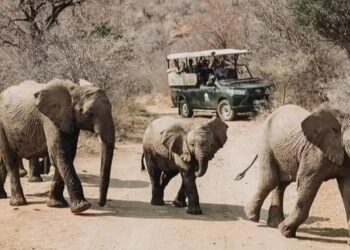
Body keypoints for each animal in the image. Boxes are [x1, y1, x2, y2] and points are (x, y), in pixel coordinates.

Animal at [0, 79, 115, 214]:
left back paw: (2, 196)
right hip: (2, 124)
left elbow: (68, 155)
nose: (100, 203)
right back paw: (18, 203)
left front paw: (56, 205)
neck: (75, 90)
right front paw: (82, 207)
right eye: (88, 114)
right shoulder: (50, 120)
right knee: (9, 159)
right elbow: (59, 154)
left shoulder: (69, 120)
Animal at [235, 103, 350, 242]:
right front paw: (285, 232)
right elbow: (306, 183)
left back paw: (274, 224)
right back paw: (252, 217)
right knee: (270, 181)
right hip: (266, 144)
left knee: (281, 184)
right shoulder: (315, 154)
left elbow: (347, 190)